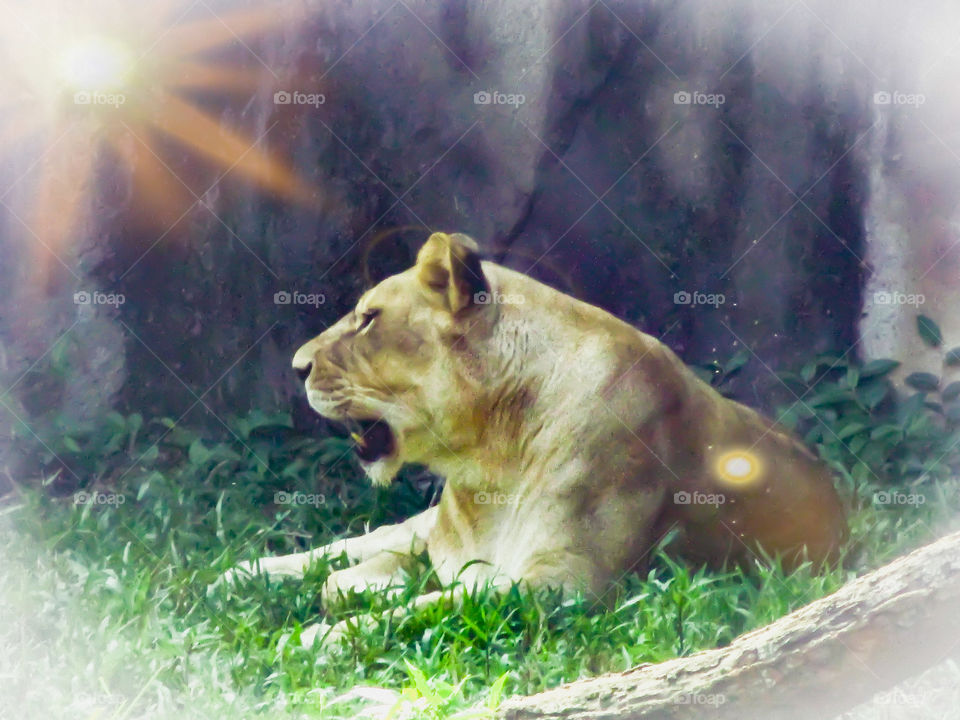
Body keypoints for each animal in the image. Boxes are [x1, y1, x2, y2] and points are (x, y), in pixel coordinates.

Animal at [227, 231, 848, 645]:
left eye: (369, 318)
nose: (296, 367)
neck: (487, 459)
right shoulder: (460, 548)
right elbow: (365, 579)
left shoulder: (565, 583)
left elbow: (426, 605)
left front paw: (315, 638)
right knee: (370, 538)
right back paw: (239, 573)